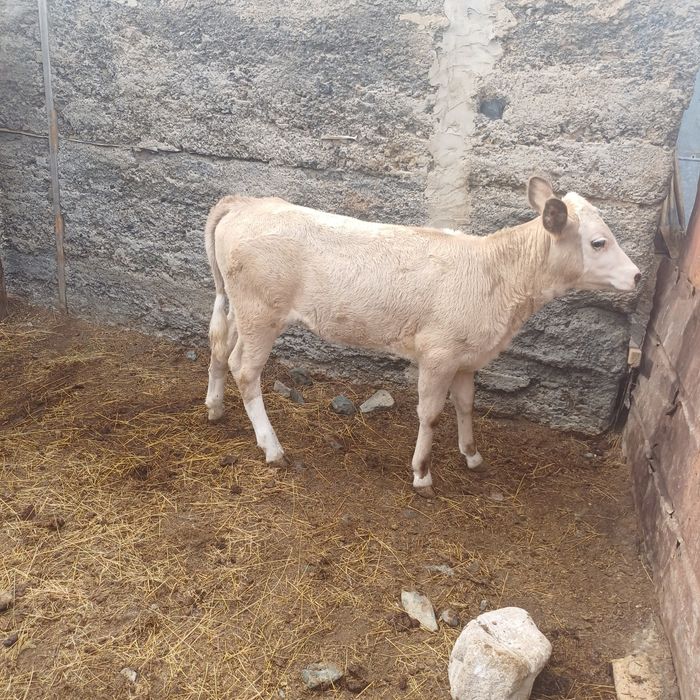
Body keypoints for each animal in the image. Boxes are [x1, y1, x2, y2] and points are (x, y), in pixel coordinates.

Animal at [203, 176, 640, 497]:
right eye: (599, 242)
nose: (637, 275)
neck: (498, 274)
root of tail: (244, 203)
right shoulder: (439, 353)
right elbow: (430, 414)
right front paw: (422, 475)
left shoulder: (467, 356)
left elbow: (466, 405)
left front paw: (472, 456)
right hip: (261, 310)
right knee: (245, 369)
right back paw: (272, 447)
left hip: (239, 306)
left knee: (221, 347)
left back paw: (215, 408)